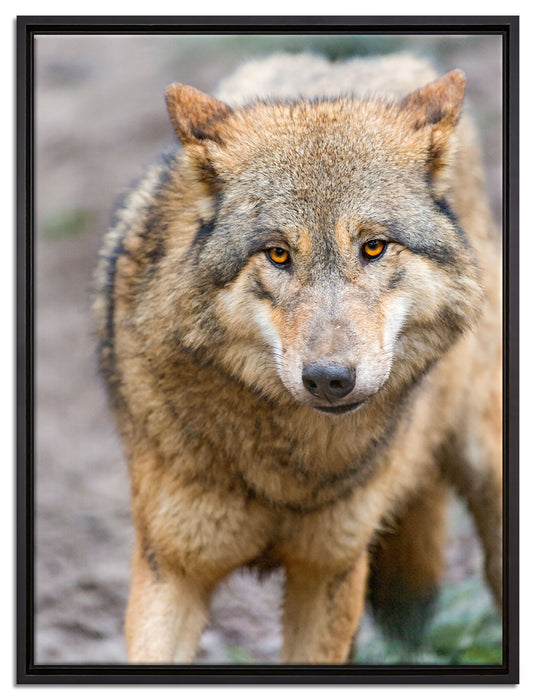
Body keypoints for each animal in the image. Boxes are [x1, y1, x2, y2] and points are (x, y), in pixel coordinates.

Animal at [93, 53, 502, 664]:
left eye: (374, 246)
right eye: (279, 254)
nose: (330, 379)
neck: (287, 471)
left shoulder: (330, 571)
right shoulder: (170, 570)